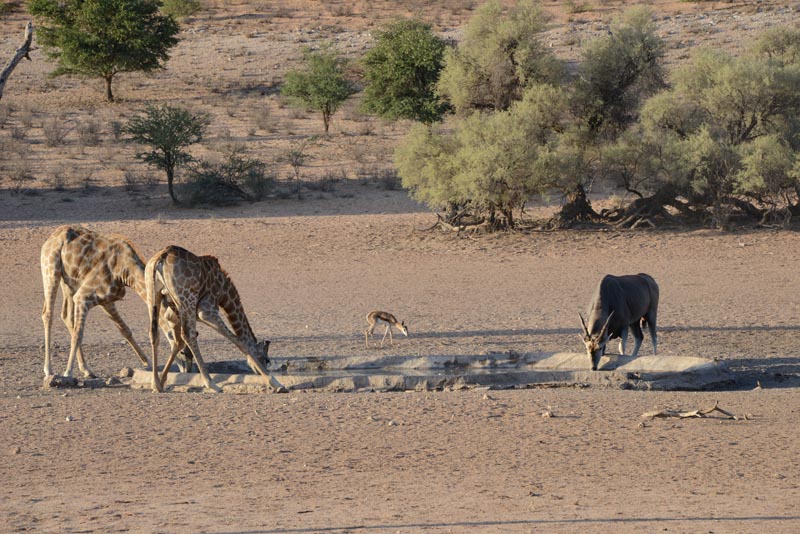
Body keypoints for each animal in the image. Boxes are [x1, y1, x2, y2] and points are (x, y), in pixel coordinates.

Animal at [41, 226, 191, 382]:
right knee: (48, 314)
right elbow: (79, 333)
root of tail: (53, 235)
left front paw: (148, 363)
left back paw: (87, 370)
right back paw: (49, 370)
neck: (126, 271)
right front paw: (68, 372)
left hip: (69, 284)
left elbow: (125, 330)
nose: (187, 369)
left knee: (66, 317)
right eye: (182, 350)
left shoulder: (106, 300)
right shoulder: (83, 296)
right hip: (51, 270)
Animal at [145, 247, 280, 394]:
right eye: (266, 360)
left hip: (153, 294)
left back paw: (155, 382)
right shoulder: (206, 311)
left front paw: (161, 381)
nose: (262, 370)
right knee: (188, 335)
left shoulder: (173, 314)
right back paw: (211, 383)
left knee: (154, 334)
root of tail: (162, 257)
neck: (224, 292)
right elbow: (240, 341)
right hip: (186, 299)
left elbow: (177, 343)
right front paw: (276, 383)